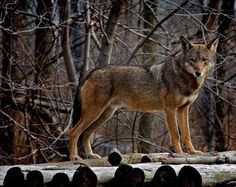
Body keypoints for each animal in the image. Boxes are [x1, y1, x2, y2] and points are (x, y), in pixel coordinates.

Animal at [68, 35, 218, 161]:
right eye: (192, 60)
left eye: (204, 60)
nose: (198, 73)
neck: (183, 78)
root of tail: (91, 72)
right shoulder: (170, 109)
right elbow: (176, 134)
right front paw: (180, 154)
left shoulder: (183, 110)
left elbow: (187, 134)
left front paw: (193, 152)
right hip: (94, 113)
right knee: (73, 132)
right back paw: (74, 157)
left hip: (104, 115)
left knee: (86, 134)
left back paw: (90, 155)